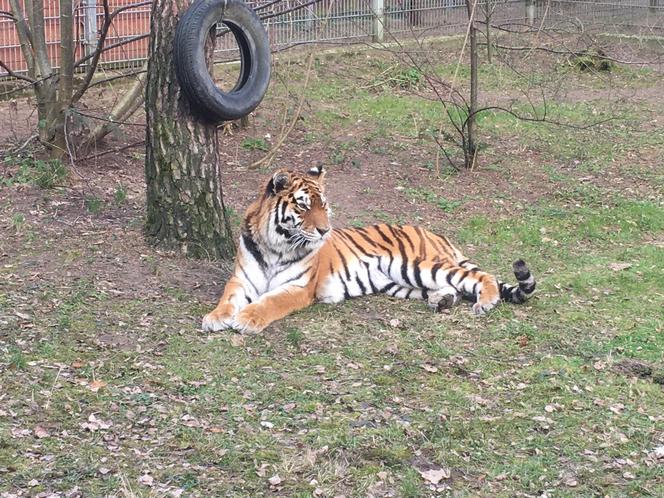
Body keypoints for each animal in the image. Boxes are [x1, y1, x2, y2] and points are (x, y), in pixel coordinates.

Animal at [201, 165, 536, 332]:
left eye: (324, 206)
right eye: (303, 206)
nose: (325, 230)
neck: (276, 245)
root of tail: (436, 233)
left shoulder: (298, 287)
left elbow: (269, 303)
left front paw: (246, 319)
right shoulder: (242, 279)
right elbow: (228, 298)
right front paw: (216, 317)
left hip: (417, 265)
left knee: (481, 277)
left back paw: (486, 302)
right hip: (401, 282)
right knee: (453, 287)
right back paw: (441, 301)